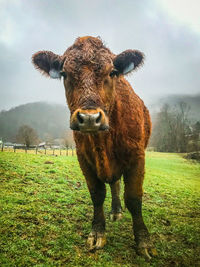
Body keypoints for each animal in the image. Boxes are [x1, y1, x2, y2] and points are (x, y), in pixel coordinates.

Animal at [32, 36, 155, 260]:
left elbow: (133, 198)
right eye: (64, 74)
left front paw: (143, 241)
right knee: (114, 184)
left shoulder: (137, 157)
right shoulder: (84, 158)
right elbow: (97, 194)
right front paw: (97, 233)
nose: (89, 118)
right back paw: (115, 210)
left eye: (112, 72)